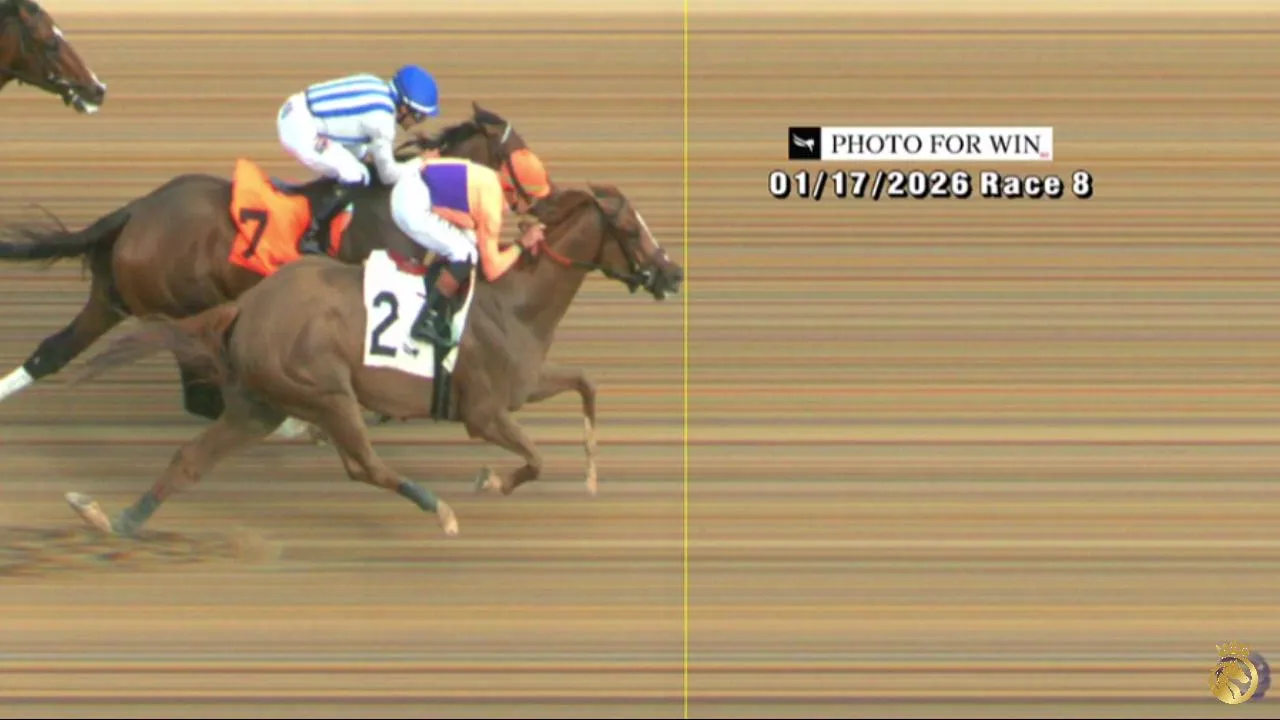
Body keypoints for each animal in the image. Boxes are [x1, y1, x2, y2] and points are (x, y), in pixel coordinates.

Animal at [0, 103, 536, 435]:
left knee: (51, 353)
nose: (541, 196)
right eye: (521, 155)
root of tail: (136, 211)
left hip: (113, 299)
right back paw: (292, 422)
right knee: (203, 398)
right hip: (178, 310)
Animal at [63, 183, 683, 538]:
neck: (515, 301)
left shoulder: (522, 385)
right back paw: (438, 508)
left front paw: (593, 471)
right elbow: (534, 458)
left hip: (258, 404)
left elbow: (587, 382)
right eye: (630, 229)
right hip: (325, 391)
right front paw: (489, 481)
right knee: (362, 465)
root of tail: (248, 304)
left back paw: (115, 518)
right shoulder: (484, 413)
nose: (672, 273)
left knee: (189, 460)